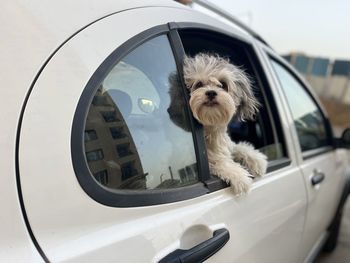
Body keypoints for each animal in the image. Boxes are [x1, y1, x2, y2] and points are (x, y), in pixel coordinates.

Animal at [182, 53, 266, 195]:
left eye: (223, 84)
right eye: (199, 84)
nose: (211, 92)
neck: (211, 127)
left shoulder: (228, 145)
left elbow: (240, 147)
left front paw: (257, 159)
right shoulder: (209, 160)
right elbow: (219, 161)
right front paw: (239, 176)